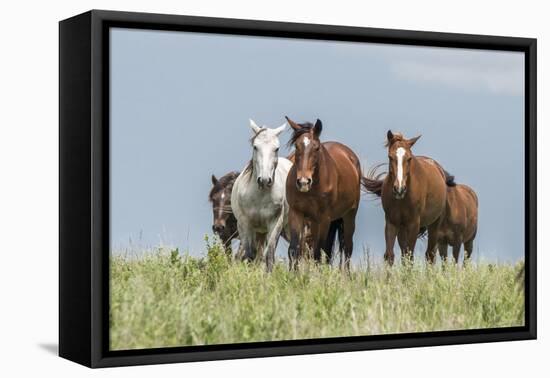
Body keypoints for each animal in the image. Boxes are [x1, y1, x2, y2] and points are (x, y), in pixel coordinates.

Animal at [232, 119, 294, 270]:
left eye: (276, 148)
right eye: (255, 147)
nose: (265, 180)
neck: (259, 197)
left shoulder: (275, 223)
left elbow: (269, 255)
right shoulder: (245, 224)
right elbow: (249, 255)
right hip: (258, 231)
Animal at [286, 116, 364, 270]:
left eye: (316, 147)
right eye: (297, 146)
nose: (303, 182)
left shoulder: (324, 218)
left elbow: (318, 252)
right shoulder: (296, 213)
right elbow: (294, 249)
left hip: (349, 216)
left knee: (347, 248)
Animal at [364, 131, 454, 264]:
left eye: (409, 158)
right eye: (390, 157)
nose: (399, 189)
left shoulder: (413, 224)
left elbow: (410, 256)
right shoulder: (392, 222)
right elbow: (390, 255)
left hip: (434, 225)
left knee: (430, 254)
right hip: (402, 228)